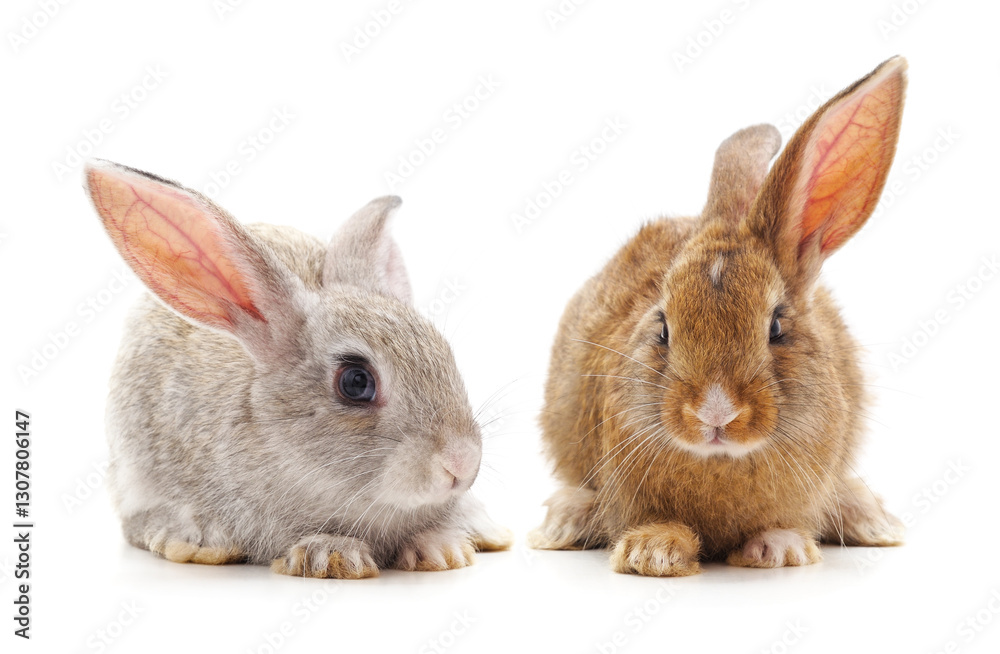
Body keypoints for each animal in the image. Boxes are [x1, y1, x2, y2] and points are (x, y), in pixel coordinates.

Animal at [529, 57, 908, 576]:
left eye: (776, 327)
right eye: (663, 328)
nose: (715, 412)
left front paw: (780, 549)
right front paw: (653, 553)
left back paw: (869, 518)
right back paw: (566, 522)